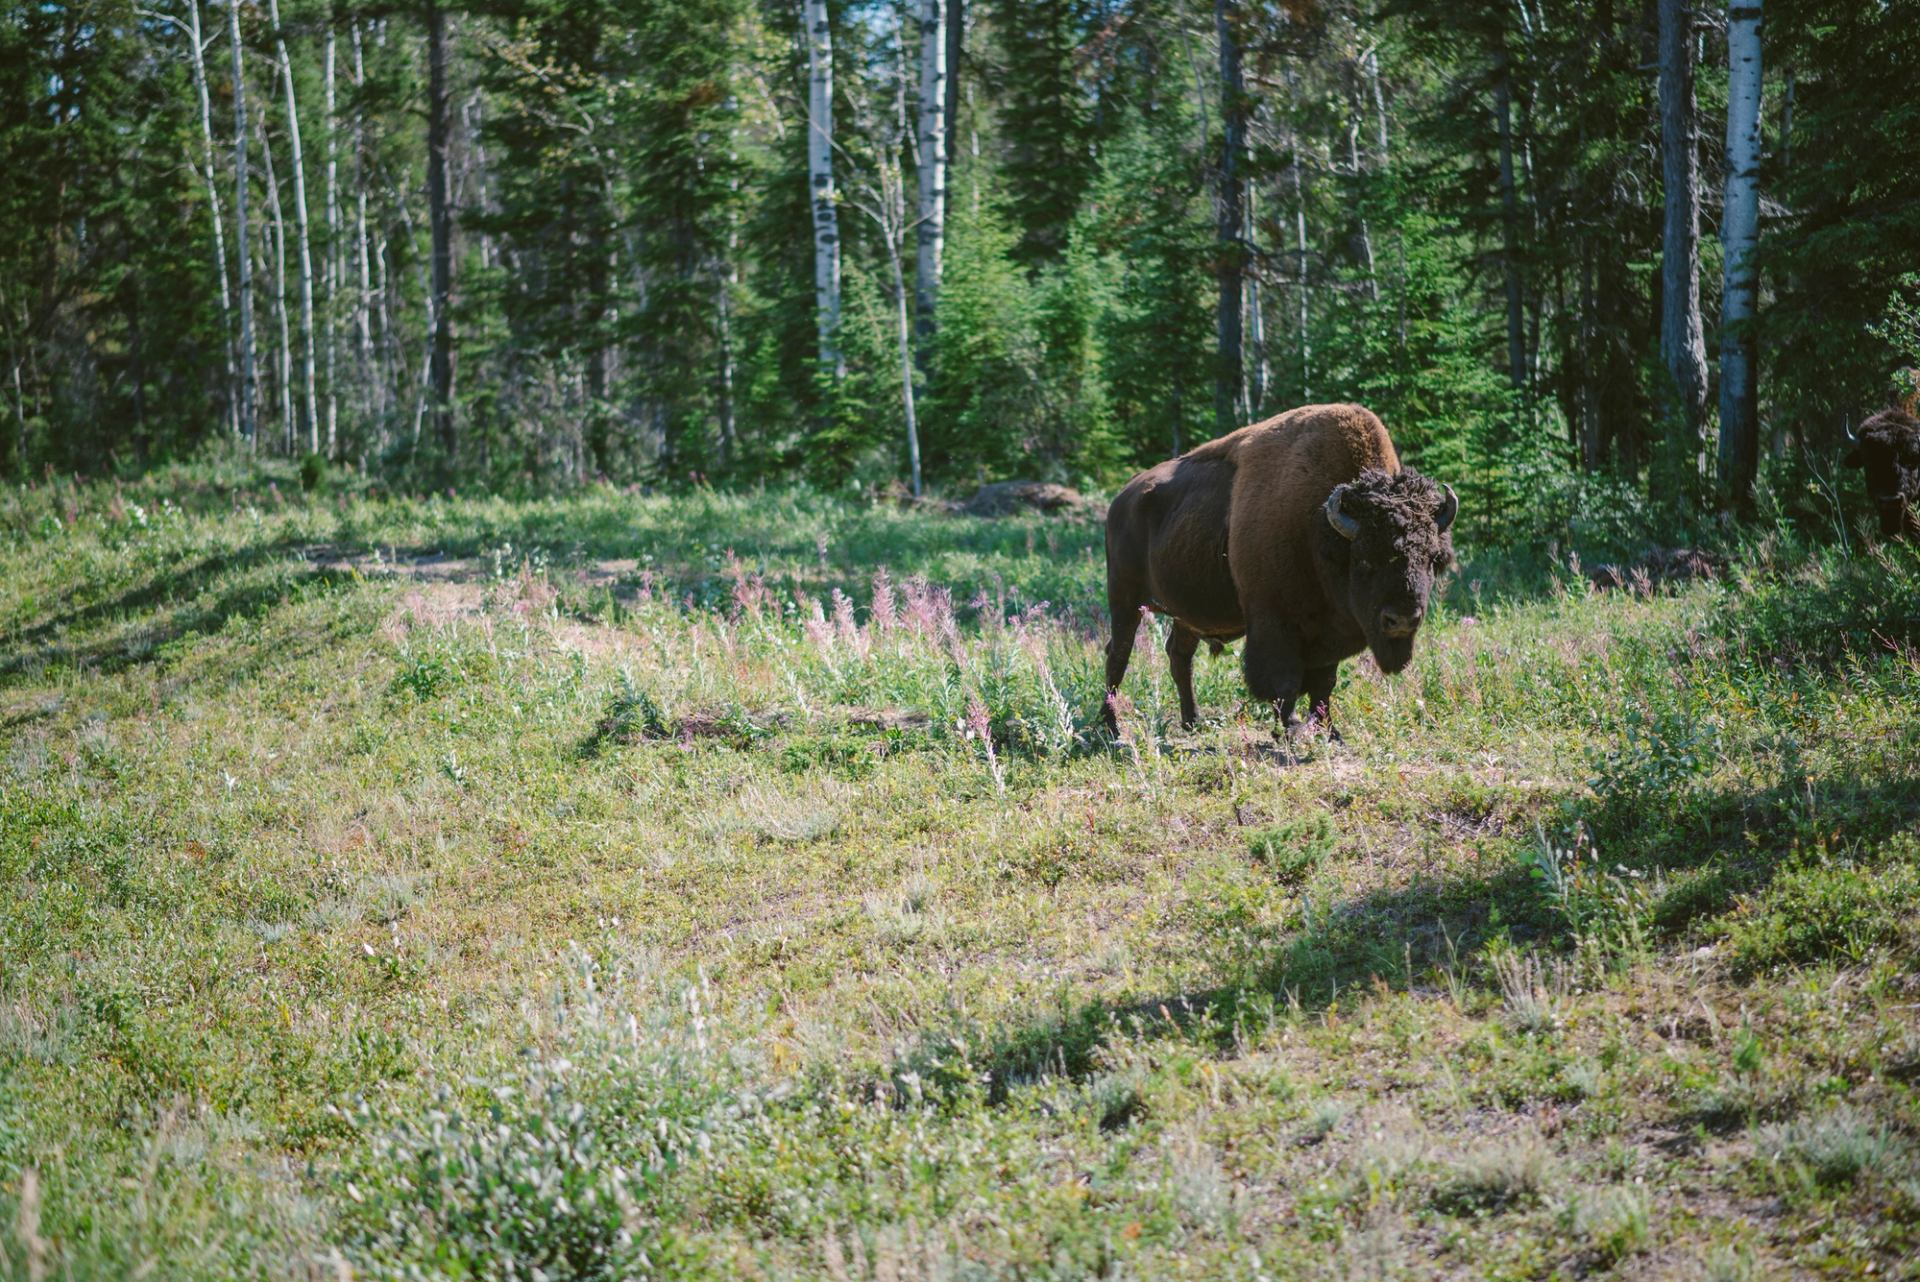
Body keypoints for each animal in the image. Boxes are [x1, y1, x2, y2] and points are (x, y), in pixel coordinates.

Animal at [1098, 401, 1451, 740]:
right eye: (1365, 558)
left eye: (1432, 558)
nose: (1402, 619)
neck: (1319, 529)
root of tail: (1121, 499)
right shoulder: (1274, 623)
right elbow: (1284, 681)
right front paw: (1291, 728)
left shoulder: (1329, 632)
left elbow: (1324, 683)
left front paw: (1329, 731)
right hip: (1125, 600)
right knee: (1118, 655)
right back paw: (1111, 729)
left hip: (1186, 613)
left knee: (1179, 656)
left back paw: (1192, 722)